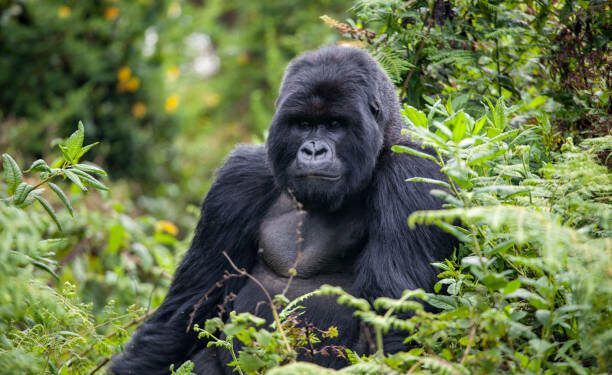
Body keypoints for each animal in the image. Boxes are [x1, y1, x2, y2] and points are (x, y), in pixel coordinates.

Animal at [110, 45, 456, 374]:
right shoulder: (238, 180)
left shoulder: (412, 170)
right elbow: (187, 310)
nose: (313, 150)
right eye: (303, 124)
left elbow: (393, 322)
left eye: (334, 124)